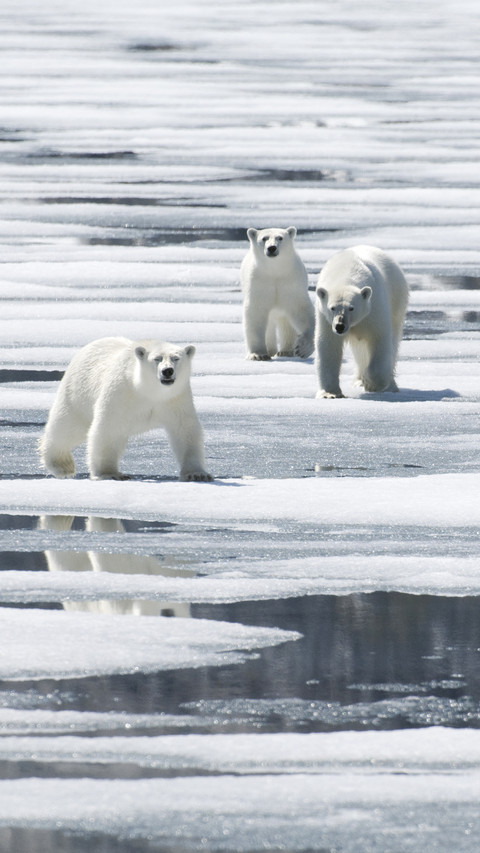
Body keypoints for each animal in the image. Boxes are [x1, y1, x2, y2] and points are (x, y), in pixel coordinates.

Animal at [38, 337, 213, 482]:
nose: (167, 371)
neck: (147, 390)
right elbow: (108, 428)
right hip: (77, 392)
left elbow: (185, 429)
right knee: (67, 427)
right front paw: (109, 474)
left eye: (176, 358)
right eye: (157, 359)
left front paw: (197, 474)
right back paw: (62, 465)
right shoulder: (121, 391)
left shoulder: (175, 398)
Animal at [240, 225, 315, 360]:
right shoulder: (259, 282)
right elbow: (256, 313)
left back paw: (286, 351)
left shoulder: (291, 281)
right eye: (264, 238)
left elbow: (301, 309)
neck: (275, 271)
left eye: (280, 237)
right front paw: (258, 354)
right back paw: (271, 350)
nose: (272, 248)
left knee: (285, 322)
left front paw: (302, 349)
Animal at [314, 245, 409, 398]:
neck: (346, 272)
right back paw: (358, 380)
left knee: (393, 343)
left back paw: (390, 385)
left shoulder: (374, 308)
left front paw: (371, 383)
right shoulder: (325, 319)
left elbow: (379, 339)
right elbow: (328, 345)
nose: (340, 326)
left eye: (351, 308)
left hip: (397, 300)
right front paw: (330, 393)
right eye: (332, 307)